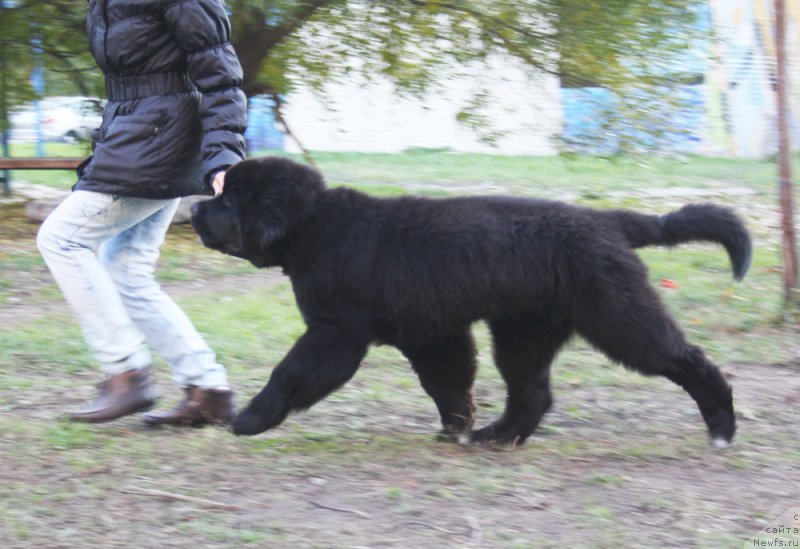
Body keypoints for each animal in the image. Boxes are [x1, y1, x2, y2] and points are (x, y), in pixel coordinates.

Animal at [192, 154, 752, 446]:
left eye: (228, 199)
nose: (196, 207)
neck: (315, 225)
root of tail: (608, 221)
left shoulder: (336, 334)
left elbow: (290, 373)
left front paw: (250, 419)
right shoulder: (428, 332)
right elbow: (446, 382)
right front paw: (456, 426)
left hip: (617, 315)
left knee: (686, 359)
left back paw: (722, 424)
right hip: (525, 331)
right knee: (533, 392)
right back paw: (496, 435)